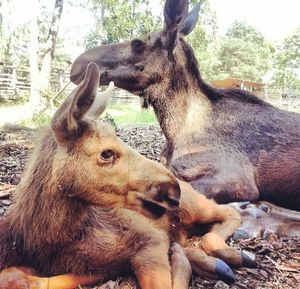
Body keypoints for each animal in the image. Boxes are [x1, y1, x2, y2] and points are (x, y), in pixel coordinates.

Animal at [0, 62, 258, 288]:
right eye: (106, 153)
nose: (172, 188)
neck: (49, 242)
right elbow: (15, 277)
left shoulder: (150, 239)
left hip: (193, 206)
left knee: (228, 213)